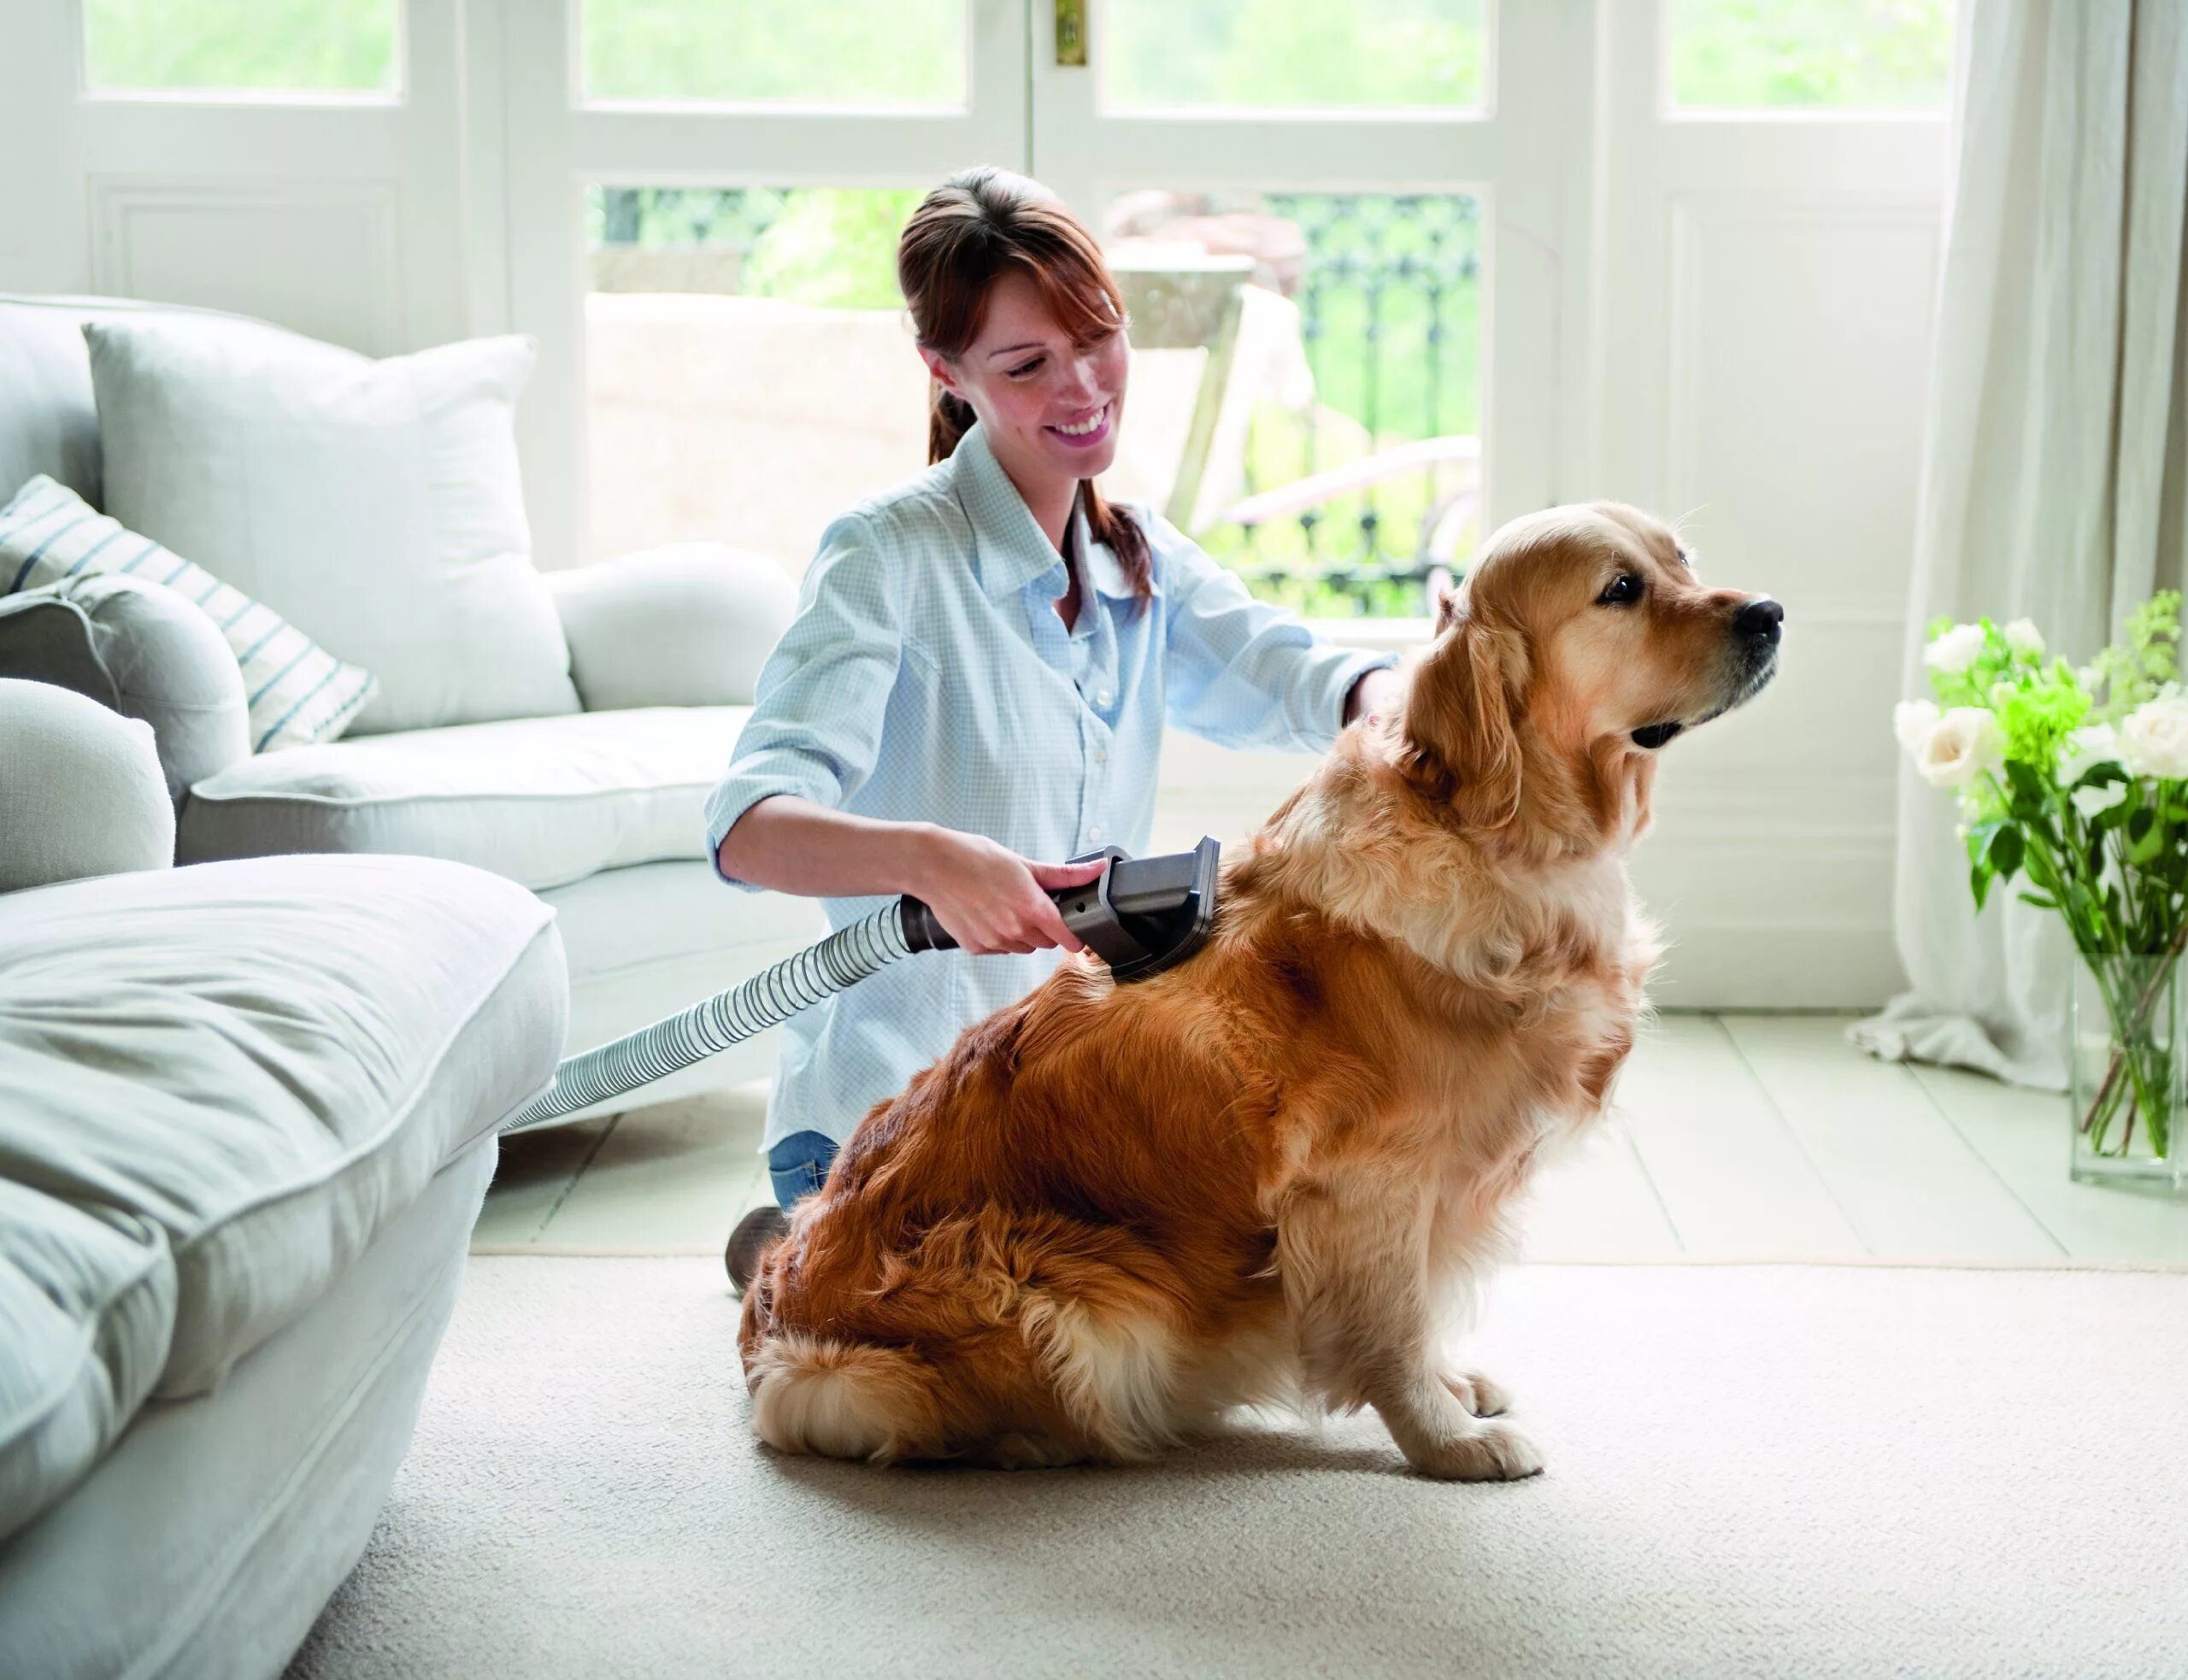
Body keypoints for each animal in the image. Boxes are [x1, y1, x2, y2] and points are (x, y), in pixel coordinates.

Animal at [735, 502, 1776, 1487]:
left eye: (1680, 559)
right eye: (1618, 590)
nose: (1768, 614)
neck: (1506, 846)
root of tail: (768, 1321)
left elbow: (1418, 1311)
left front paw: (1453, 1390)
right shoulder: (1366, 1183)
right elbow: (1392, 1327)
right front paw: (1444, 1439)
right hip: (1066, 1293)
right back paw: (1039, 1442)